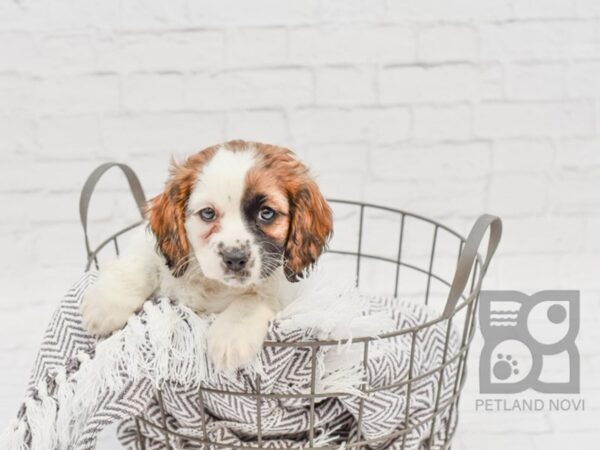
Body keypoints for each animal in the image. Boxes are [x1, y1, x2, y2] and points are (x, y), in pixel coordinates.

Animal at [80, 141, 332, 370]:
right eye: (208, 213)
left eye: (266, 213)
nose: (234, 258)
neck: (215, 285)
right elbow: (141, 260)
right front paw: (106, 303)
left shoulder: (284, 288)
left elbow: (257, 296)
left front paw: (231, 335)